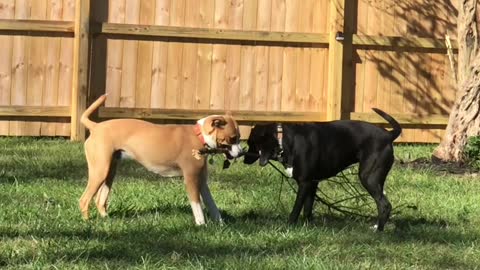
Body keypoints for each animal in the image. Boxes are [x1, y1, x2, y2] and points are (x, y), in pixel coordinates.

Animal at [80, 94, 244, 225]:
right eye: (232, 138)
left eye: (239, 137)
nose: (242, 152)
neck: (198, 136)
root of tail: (95, 126)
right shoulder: (191, 179)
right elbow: (197, 206)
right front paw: (201, 224)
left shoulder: (202, 182)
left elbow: (212, 205)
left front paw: (221, 224)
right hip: (99, 171)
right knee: (84, 200)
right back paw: (87, 223)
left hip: (110, 172)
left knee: (100, 200)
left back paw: (105, 219)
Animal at [244, 108, 402, 231]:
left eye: (252, 144)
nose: (244, 159)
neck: (285, 141)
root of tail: (388, 135)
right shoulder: (312, 183)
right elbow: (307, 209)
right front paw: (308, 226)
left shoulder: (304, 183)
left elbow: (296, 208)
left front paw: (289, 225)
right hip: (377, 180)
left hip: (368, 177)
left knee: (384, 205)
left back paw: (378, 230)